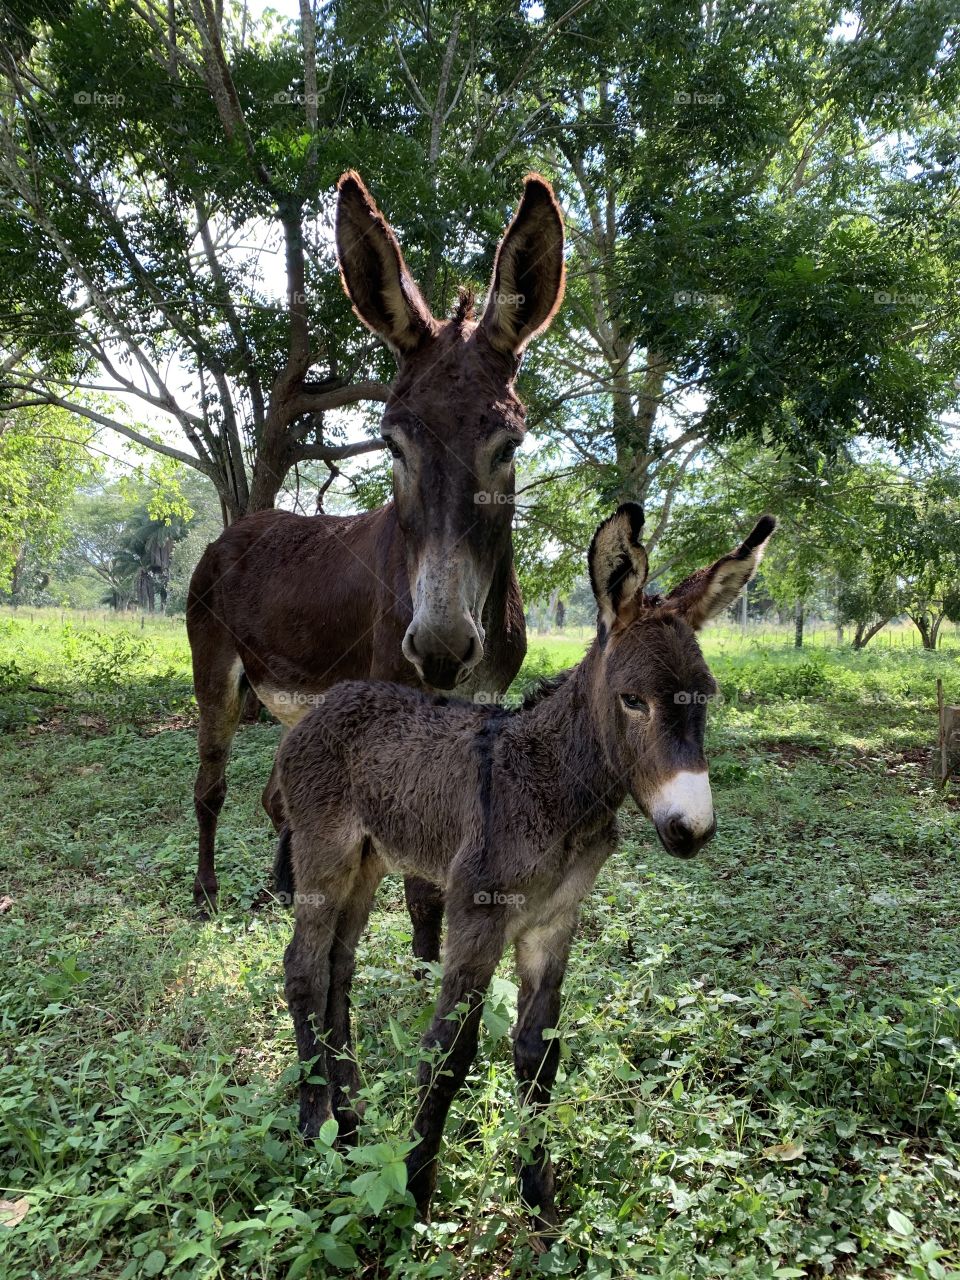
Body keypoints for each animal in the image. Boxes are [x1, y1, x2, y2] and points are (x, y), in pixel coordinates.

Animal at [276, 504, 773, 1223]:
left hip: (369, 860)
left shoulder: (553, 920)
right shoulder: (477, 916)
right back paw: (317, 1120)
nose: (692, 830)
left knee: (340, 969)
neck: (556, 784)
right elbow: (449, 1052)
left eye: (704, 696)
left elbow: (539, 1051)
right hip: (324, 851)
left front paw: (539, 1199)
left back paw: (349, 1110)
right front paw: (415, 1193)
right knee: (304, 969)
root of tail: (322, 706)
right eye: (632, 700)